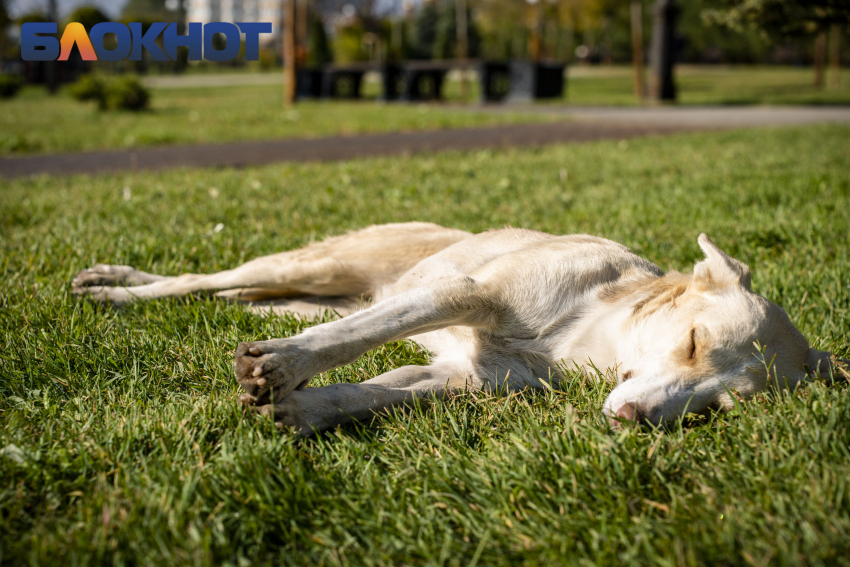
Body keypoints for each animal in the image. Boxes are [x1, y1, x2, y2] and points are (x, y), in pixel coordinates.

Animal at [73, 223, 840, 434]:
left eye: (723, 405)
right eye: (691, 344)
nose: (633, 420)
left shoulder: (460, 378)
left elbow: (369, 390)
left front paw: (298, 409)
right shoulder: (463, 293)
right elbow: (357, 344)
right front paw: (282, 370)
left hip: (310, 294)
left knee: (248, 301)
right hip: (315, 264)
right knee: (199, 279)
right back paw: (113, 287)